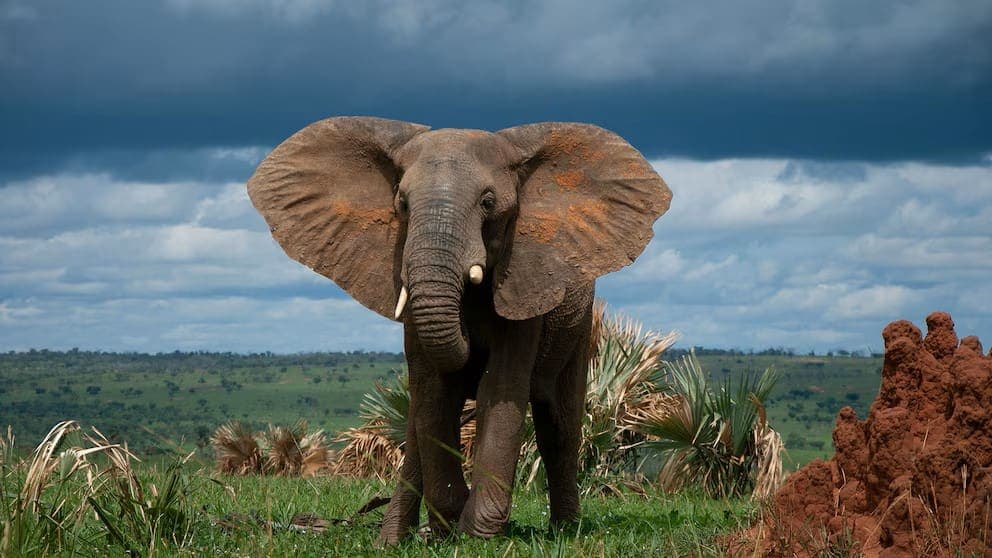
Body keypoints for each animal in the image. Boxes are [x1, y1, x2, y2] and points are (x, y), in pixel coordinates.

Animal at [246, 116, 671, 543]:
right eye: (402, 204)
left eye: (488, 203)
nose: (469, 334)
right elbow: (434, 392)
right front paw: (450, 521)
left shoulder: (524, 285)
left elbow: (498, 389)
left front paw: (474, 533)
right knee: (417, 419)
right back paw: (396, 538)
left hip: (579, 324)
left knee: (559, 425)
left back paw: (563, 531)